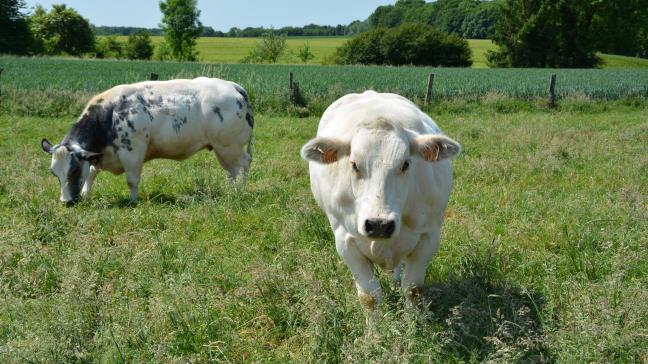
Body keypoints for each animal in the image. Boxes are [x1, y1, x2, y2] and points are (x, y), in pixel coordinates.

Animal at [39, 77, 253, 203]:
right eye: (53, 172)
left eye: (74, 170)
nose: (66, 202)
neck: (110, 115)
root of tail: (233, 86)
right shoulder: (99, 154)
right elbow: (91, 173)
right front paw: (85, 194)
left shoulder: (132, 151)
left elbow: (132, 180)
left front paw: (133, 201)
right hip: (221, 148)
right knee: (231, 171)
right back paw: (229, 190)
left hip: (229, 146)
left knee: (242, 165)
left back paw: (239, 192)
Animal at [302, 92, 458, 326]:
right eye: (354, 164)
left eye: (405, 164)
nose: (379, 225)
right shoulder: (345, 241)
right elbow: (369, 296)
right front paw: (374, 333)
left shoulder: (429, 237)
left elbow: (413, 289)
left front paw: (414, 327)